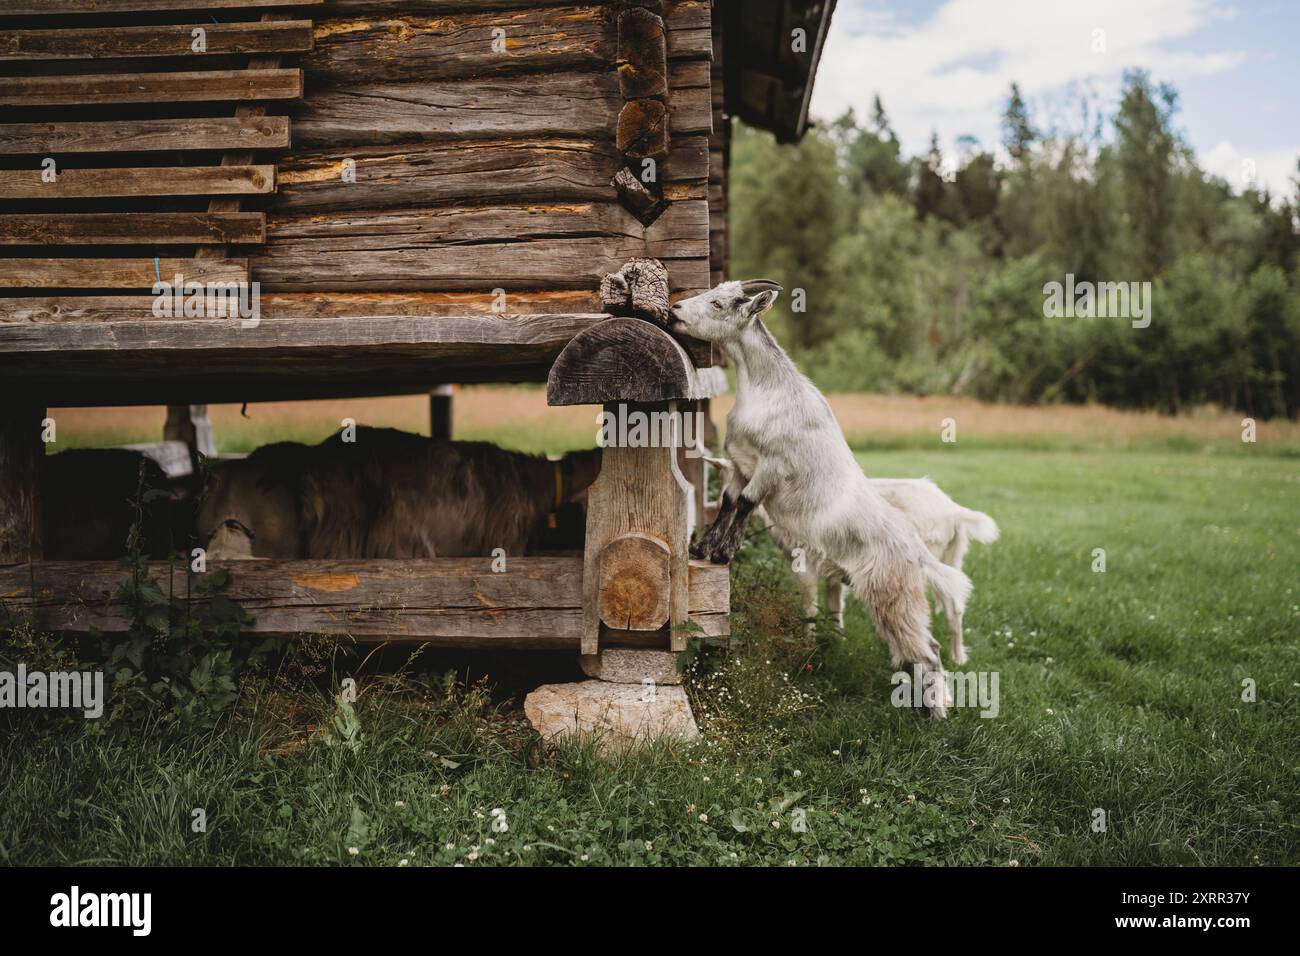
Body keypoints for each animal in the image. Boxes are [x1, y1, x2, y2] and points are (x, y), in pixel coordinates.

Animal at [665, 282, 972, 717]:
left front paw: (724, 552)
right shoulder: (740, 463)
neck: (767, 392)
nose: (674, 311)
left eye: (718, 303)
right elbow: (727, 502)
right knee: (920, 646)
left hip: (893, 594)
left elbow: (746, 503)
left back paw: (936, 716)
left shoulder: (770, 467)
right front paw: (705, 549)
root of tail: (916, 551)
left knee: (929, 650)